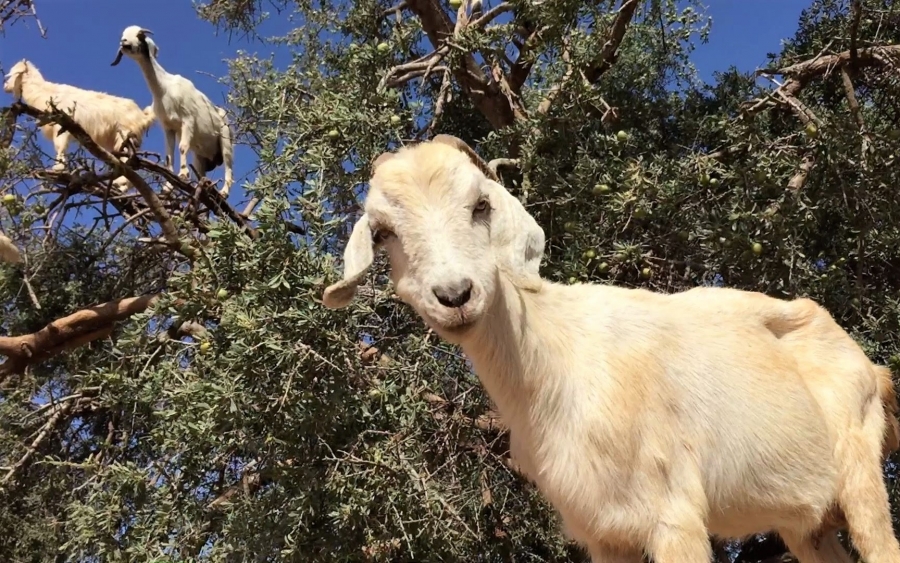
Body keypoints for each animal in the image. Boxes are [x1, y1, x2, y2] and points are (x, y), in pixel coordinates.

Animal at [2, 58, 155, 192]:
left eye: (13, 73)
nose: (5, 86)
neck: (46, 92)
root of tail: (143, 116)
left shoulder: (62, 125)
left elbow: (60, 147)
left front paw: (58, 168)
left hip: (126, 136)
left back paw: (120, 183)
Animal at [111, 26, 236, 198]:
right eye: (123, 35)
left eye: (140, 35)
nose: (124, 43)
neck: (164, 88)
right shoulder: (168, 126)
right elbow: (169, 156)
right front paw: (168, 186)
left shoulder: (188, 119)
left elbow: (182, 147)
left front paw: (183, 175)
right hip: (200, 156)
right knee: (201, 170)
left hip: (225, 139)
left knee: (229, 166)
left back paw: (224, 192)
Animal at [322, 135, 900, 563]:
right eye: (383, 232)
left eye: (481, 205)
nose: (455, 295)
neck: (555, 362)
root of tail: (872, 368)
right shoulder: (602, 530)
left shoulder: (674, 515)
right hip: (807, 524)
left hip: (861, 476)